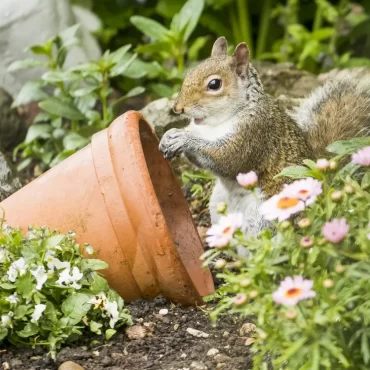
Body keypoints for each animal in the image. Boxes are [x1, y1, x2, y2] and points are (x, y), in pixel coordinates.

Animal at [158, 36, 370, 251]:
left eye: (214, 84)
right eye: (189, 73)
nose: (177, 108)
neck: (215, 123)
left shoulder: (253, 134)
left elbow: (227, 159)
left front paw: (184, 140)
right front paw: (169, 136)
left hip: (263, 218)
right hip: (218, 206)